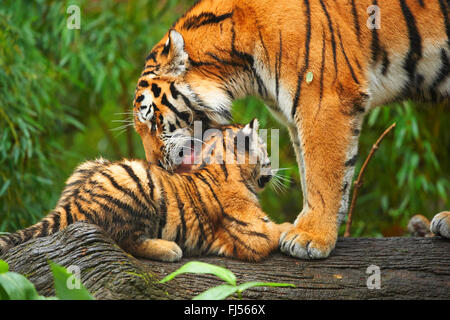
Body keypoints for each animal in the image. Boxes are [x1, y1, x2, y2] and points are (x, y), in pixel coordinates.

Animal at [134, 0, 450, 258]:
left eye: (153, 121)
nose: (155, 164)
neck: (241, 68)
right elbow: (314, 172)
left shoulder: (323, 98)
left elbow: (323, 173)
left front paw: (311, 237)